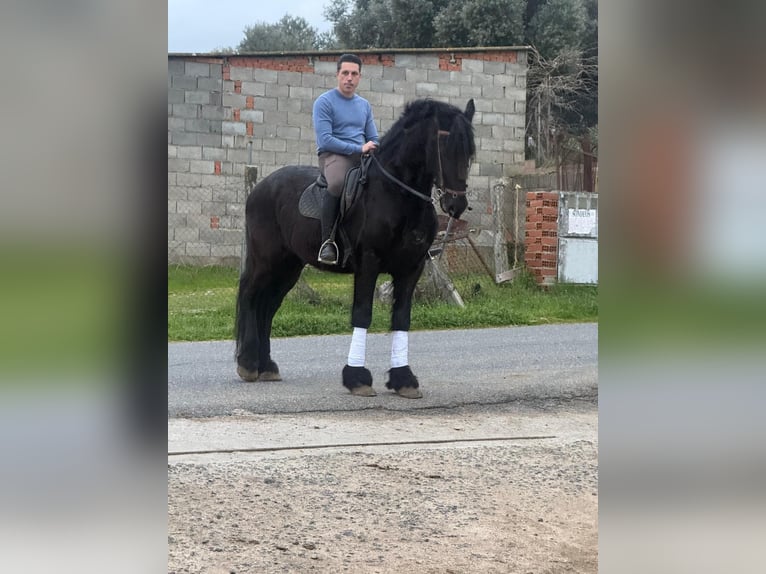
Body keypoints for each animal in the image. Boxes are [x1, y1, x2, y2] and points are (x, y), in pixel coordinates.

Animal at [235, 98, 476, 398]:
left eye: (469, 152)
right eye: (444, 146)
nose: (456, 205)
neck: (398, 195)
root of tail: (260, 188)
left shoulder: (412, 268)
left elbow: (402, 318)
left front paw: (404, 379)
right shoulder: (368, 263)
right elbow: (362, 314)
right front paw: (357, 378)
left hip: (289, 267)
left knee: (268, 306)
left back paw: (266, 366)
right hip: (265, 261)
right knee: (250, 296)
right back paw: (247, 364)